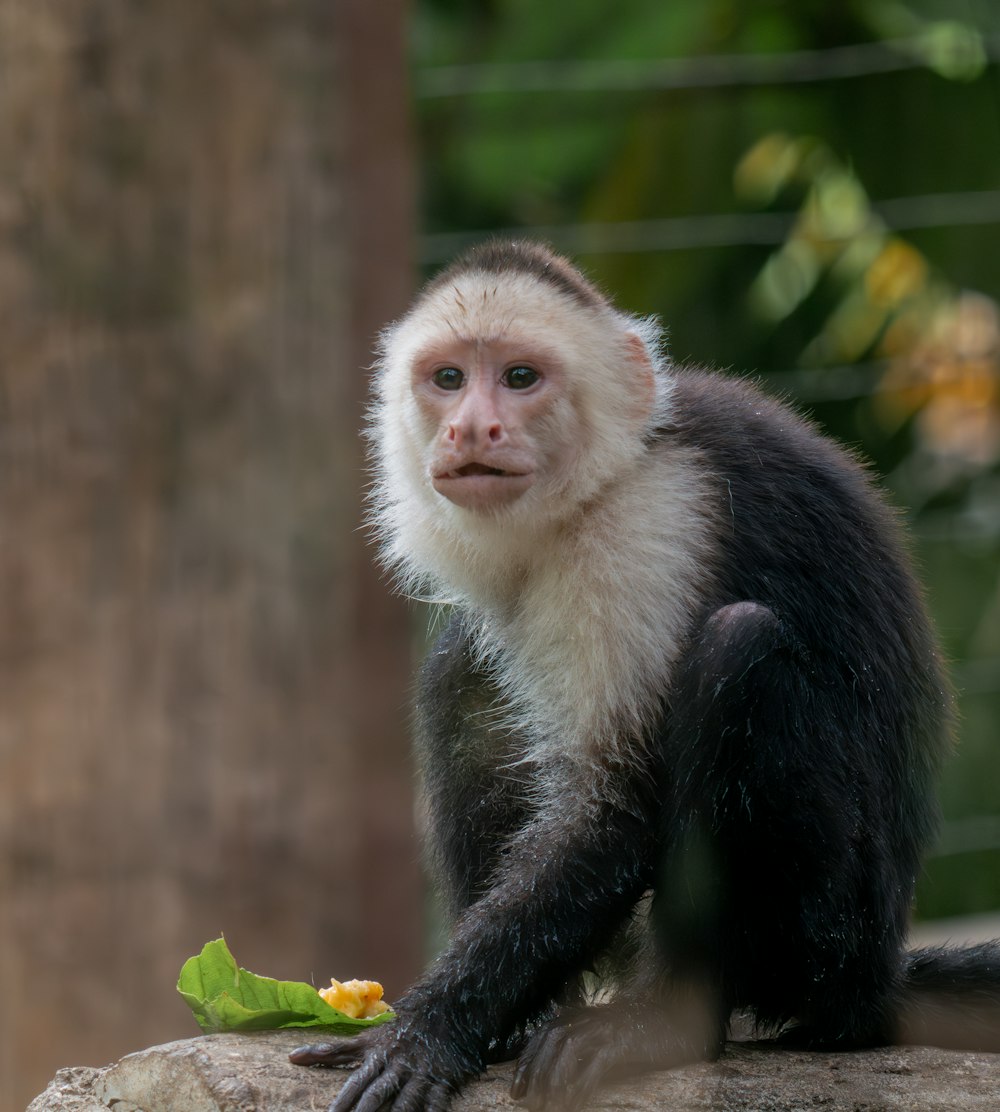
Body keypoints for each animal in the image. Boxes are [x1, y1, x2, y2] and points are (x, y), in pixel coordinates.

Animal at [289, 243, 1000, 1112]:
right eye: (449, 379)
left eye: (520, 378)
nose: (472, 427)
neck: (603, 477)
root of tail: (877, 980)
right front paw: (469, 1026)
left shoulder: (647, 524)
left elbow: (614, 801)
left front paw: (426, 1031)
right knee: (463, 668)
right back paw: (533, 1017)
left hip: (826, 936)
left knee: (738, 652)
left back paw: (663, 1023)